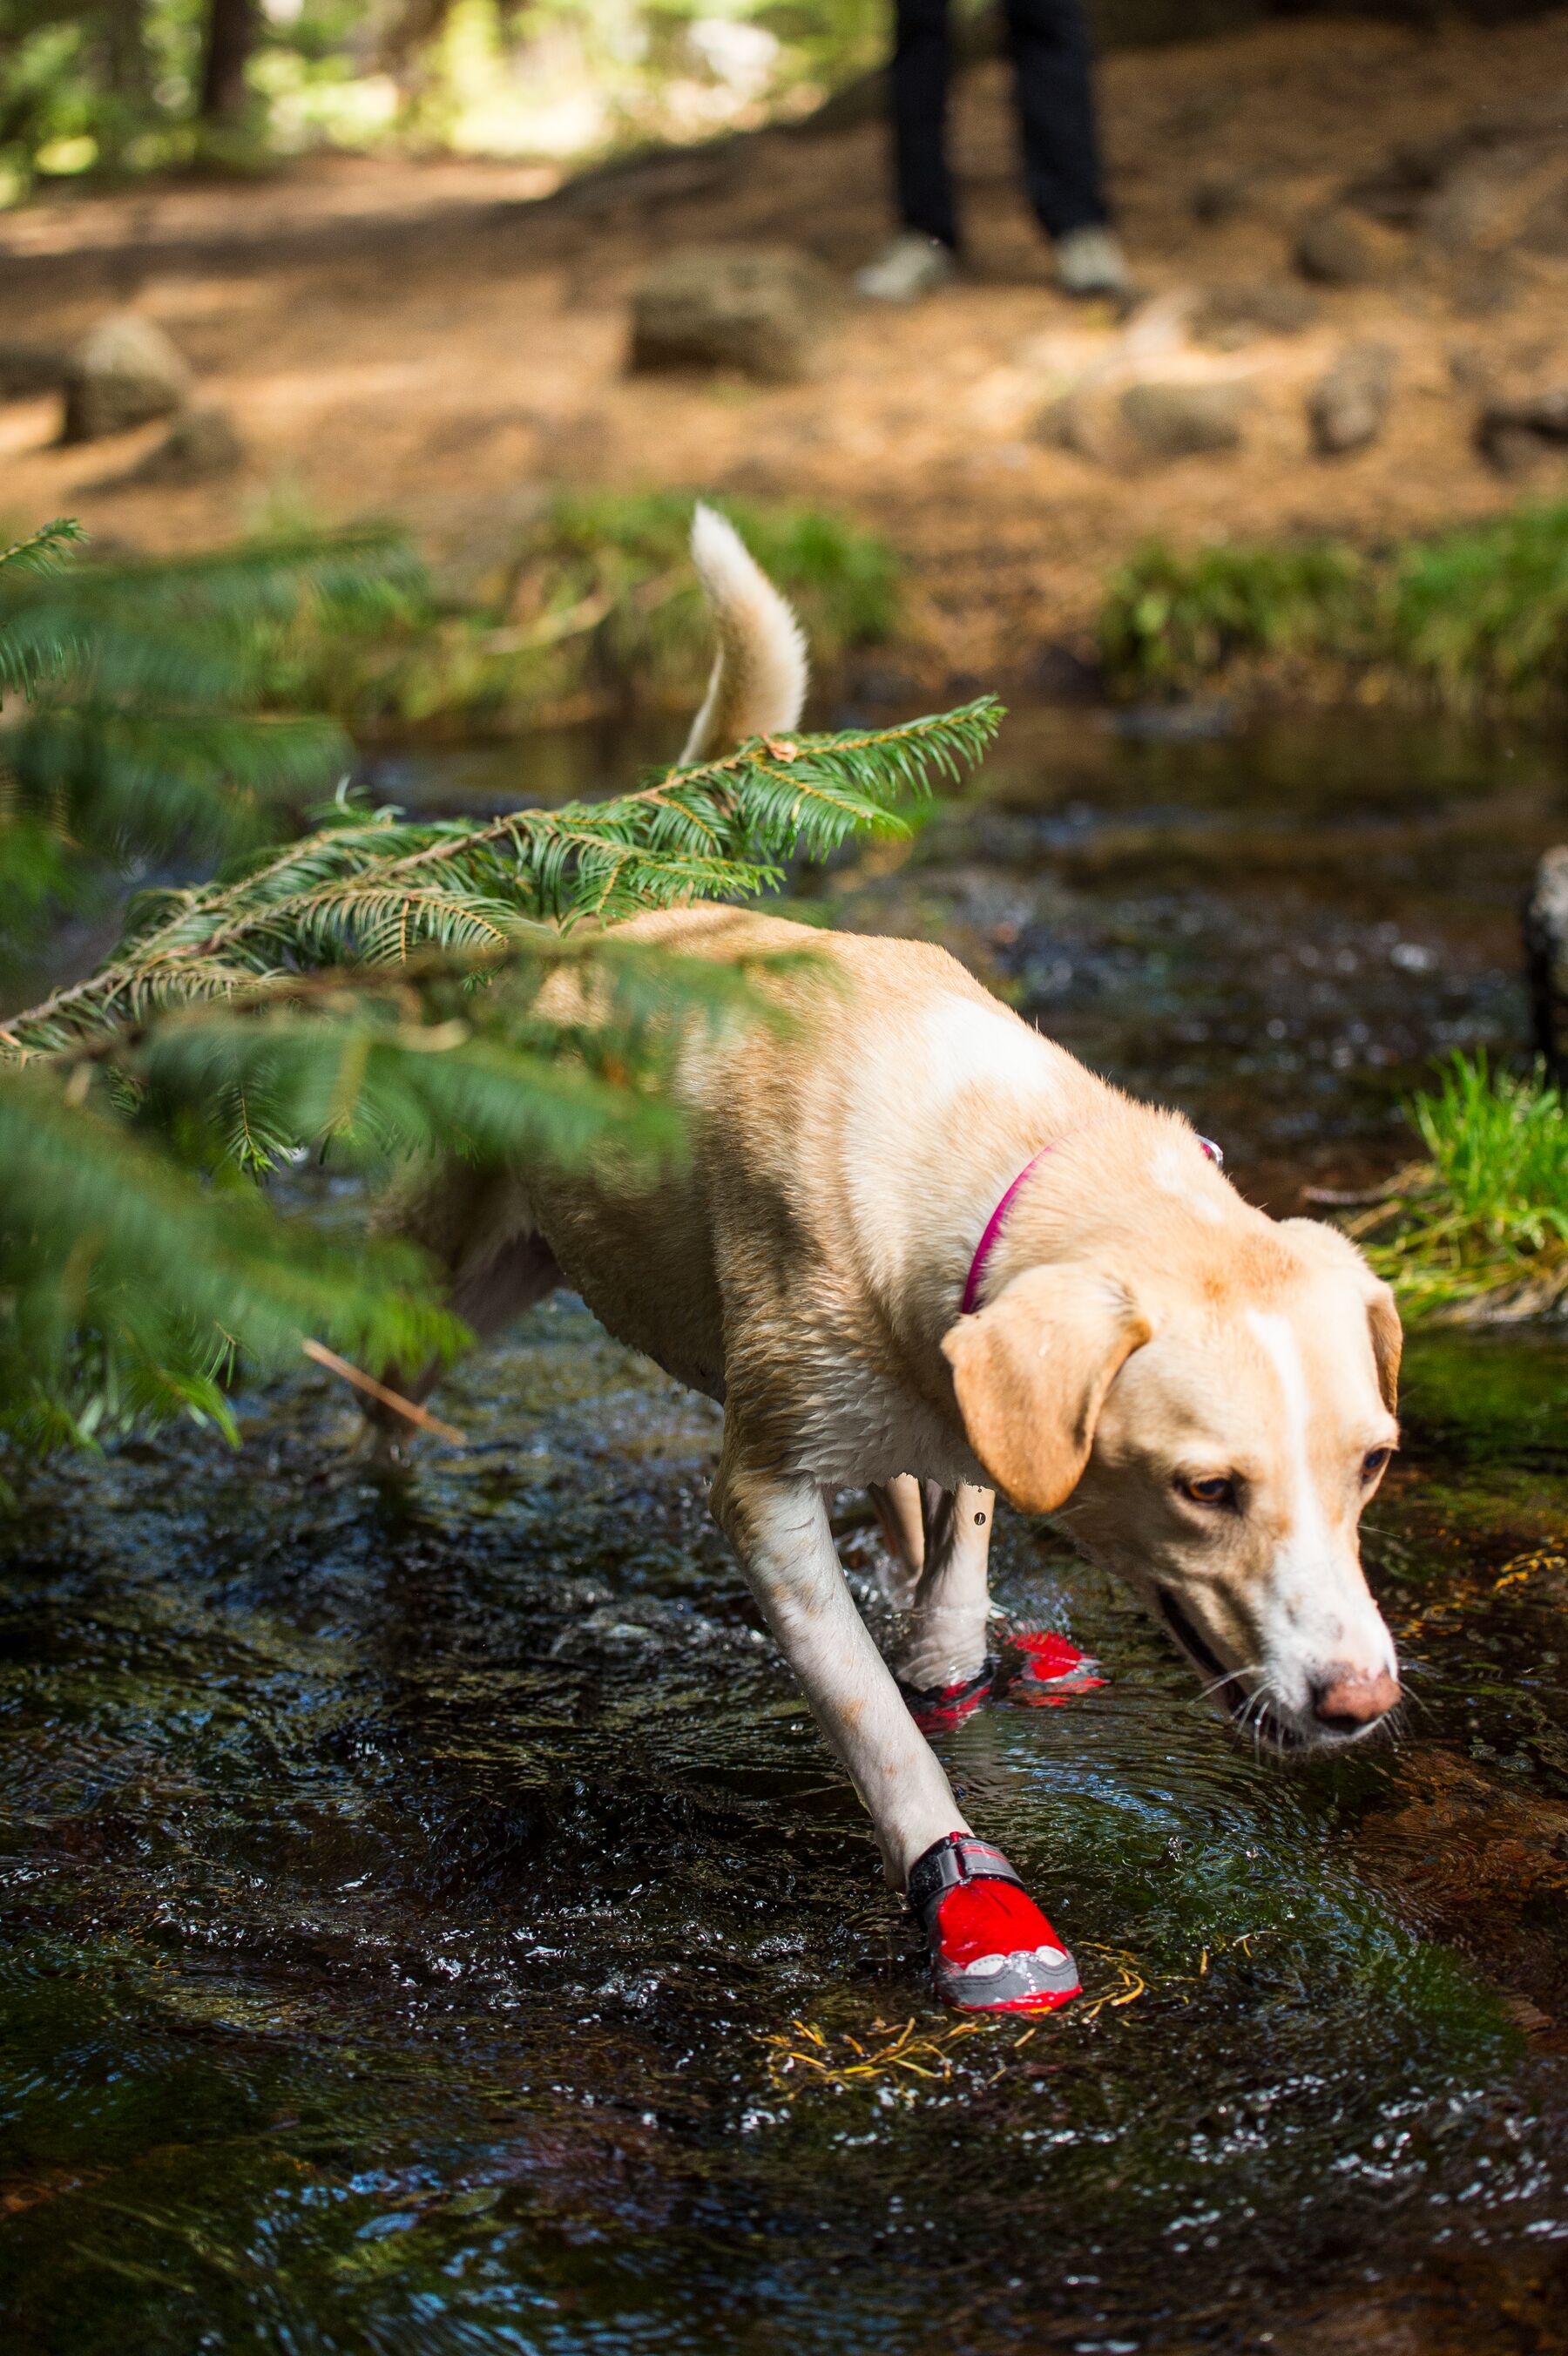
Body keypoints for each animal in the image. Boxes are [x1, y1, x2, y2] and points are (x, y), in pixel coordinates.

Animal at [388, 516, 1394, 2026]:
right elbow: (875, 1725)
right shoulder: (761, 1505)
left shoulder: (958, 1367)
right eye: (1207, 1489)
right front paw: (967, 1898)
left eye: (1373, 1465)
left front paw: (956, 1636)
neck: (998, 1146)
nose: (1360, 1703)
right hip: (451, 1283)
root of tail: (606, 914)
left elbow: (961, 1520)